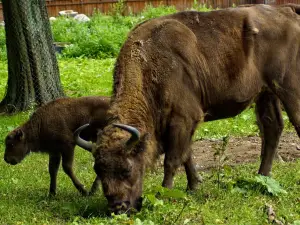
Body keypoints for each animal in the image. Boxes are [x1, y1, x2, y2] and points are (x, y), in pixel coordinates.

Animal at [75, 4, 300, 214]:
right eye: (98, 170)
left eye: (127, 169)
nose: (117, 207)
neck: (150, 61)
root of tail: (287, 11)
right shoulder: (181, 124)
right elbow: (186, 155)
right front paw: (194, 186)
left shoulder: (182, 119)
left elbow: (172, 159)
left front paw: (164, 192)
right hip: (266, 93)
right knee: (272, 129)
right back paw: (262, 176)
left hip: (288, 88)